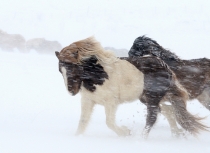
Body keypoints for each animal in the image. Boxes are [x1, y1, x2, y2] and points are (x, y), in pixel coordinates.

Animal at [55, 36, 208, 139]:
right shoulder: (88, 101)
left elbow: (109, 122)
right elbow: (82, 123)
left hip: (152, 98)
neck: (99, 75)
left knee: (152, 117)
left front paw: (125, 132)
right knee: (170, 111)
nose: (71, 91)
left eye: (74, 68)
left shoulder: (111, 102)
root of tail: (165, 66)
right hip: (147, 98)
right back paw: (176, 134)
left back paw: (141, 139)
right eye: (60, 70)